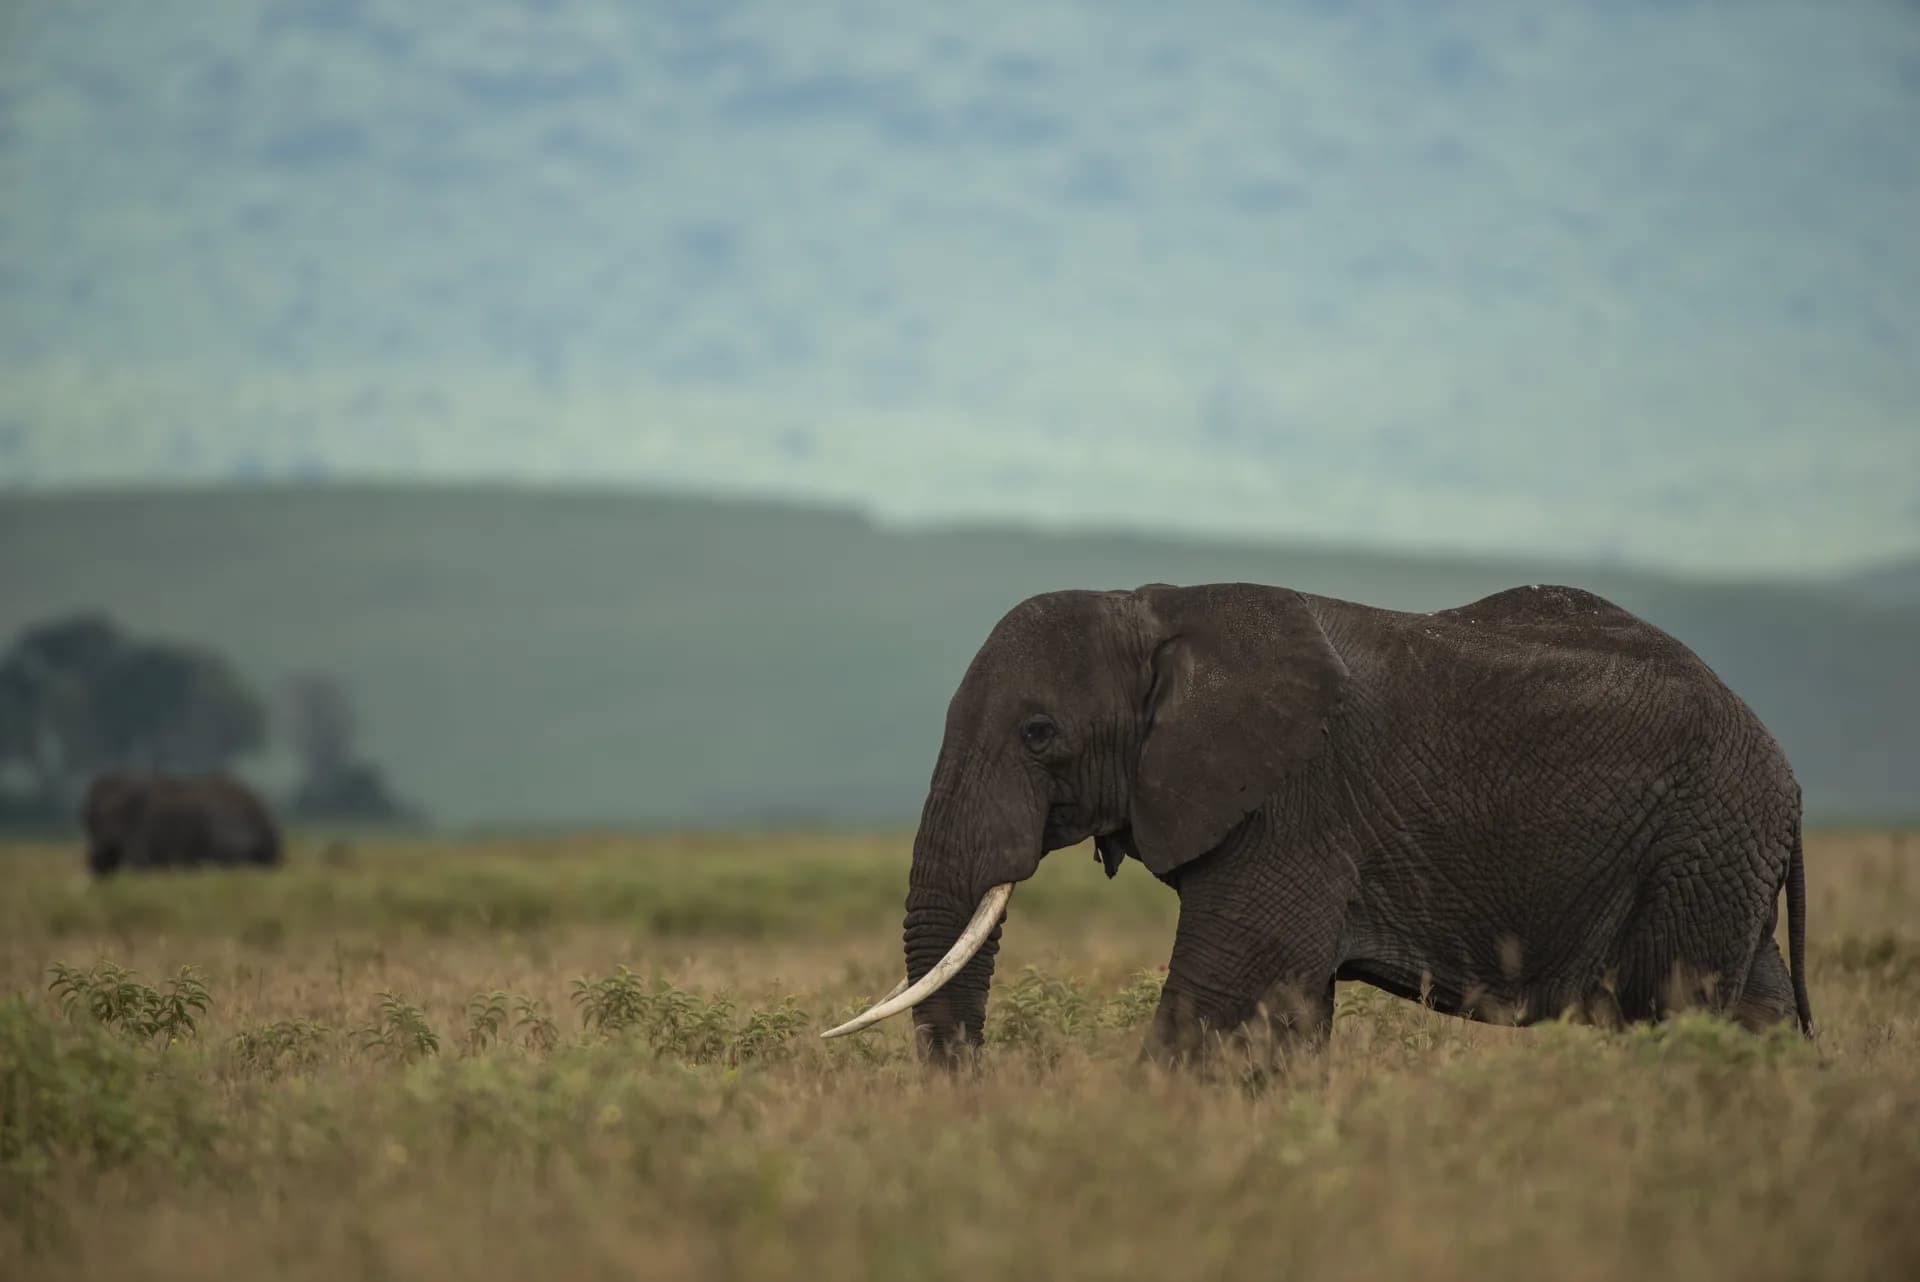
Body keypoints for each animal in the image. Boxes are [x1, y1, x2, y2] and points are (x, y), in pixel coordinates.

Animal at [823, 581, 1813, 1067]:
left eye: (1038, 735)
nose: (978, 1095)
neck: (1150, 611)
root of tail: (1789, 775)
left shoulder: (1293, 801)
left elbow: (1227, 1006)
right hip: (1717, 853)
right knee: (1750, 1010)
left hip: (1701, 838)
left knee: (1674, 1007)